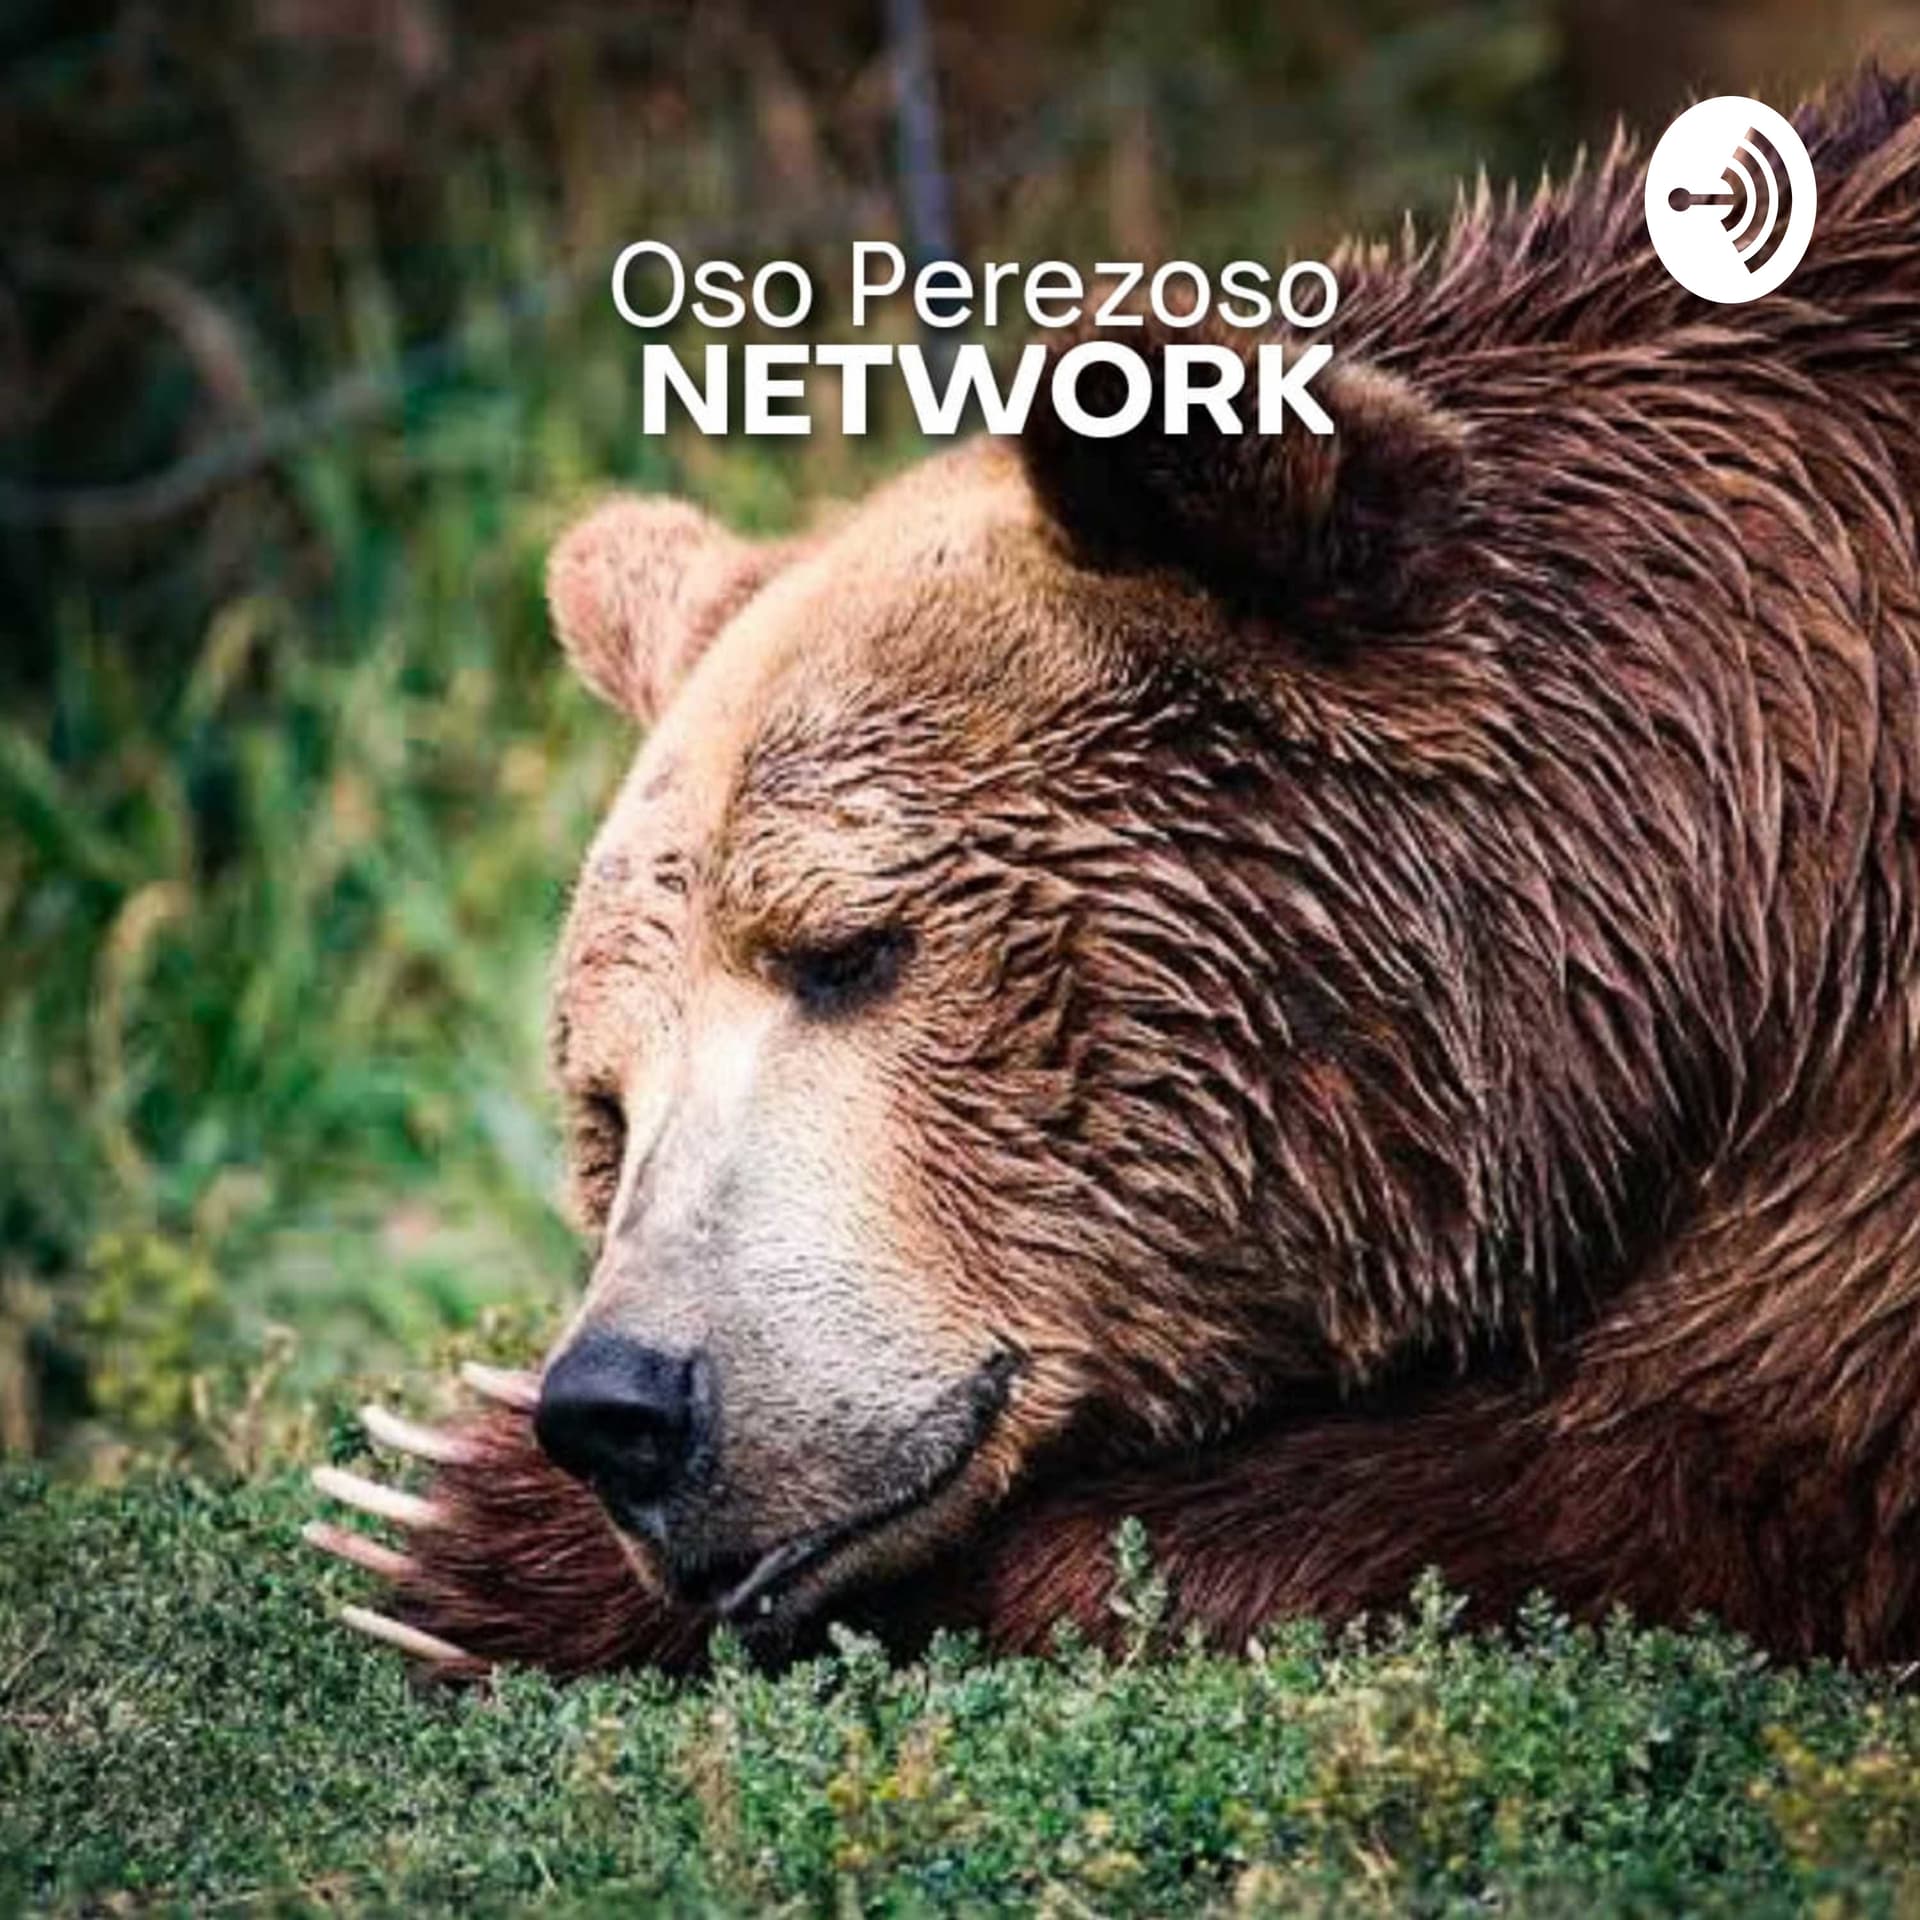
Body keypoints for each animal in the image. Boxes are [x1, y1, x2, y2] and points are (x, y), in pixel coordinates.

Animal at [307, 69, 1920, 1675]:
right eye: (605, 1094)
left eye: (847, 950)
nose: (621, 1408)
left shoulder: (1855, 1116)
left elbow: (1676, 1470)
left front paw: (439, 1512)